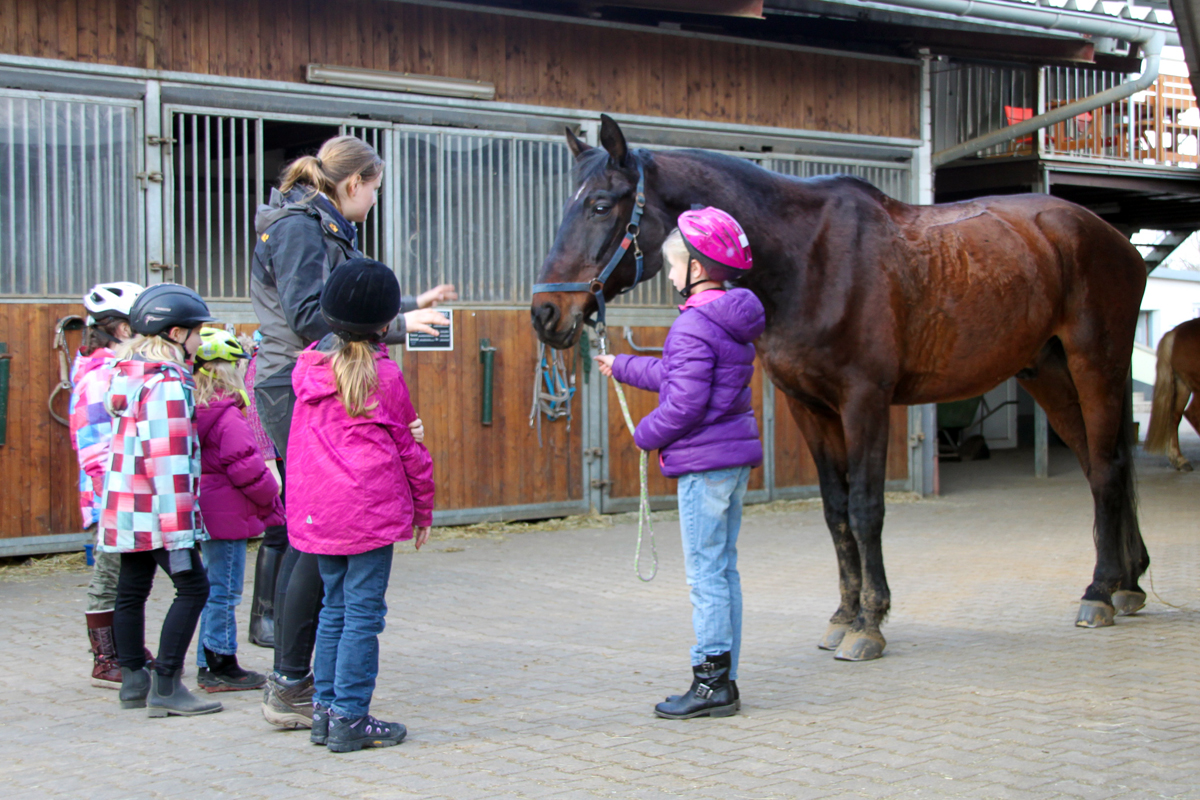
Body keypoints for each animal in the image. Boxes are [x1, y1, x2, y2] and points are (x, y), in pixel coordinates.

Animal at [535, 115, 1152, 662]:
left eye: (600, 204)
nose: (546, 314)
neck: (808, 259)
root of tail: (1114, 239)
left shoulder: (865, 403)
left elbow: (864, 508)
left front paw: (871, 624)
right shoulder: (809, 407)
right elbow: (835, 511)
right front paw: (843, 616)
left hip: (1094, 364)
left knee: (1107, 468)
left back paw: (1100, 592)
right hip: (1047, 372)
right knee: (1102, 466)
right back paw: (1128, 583)